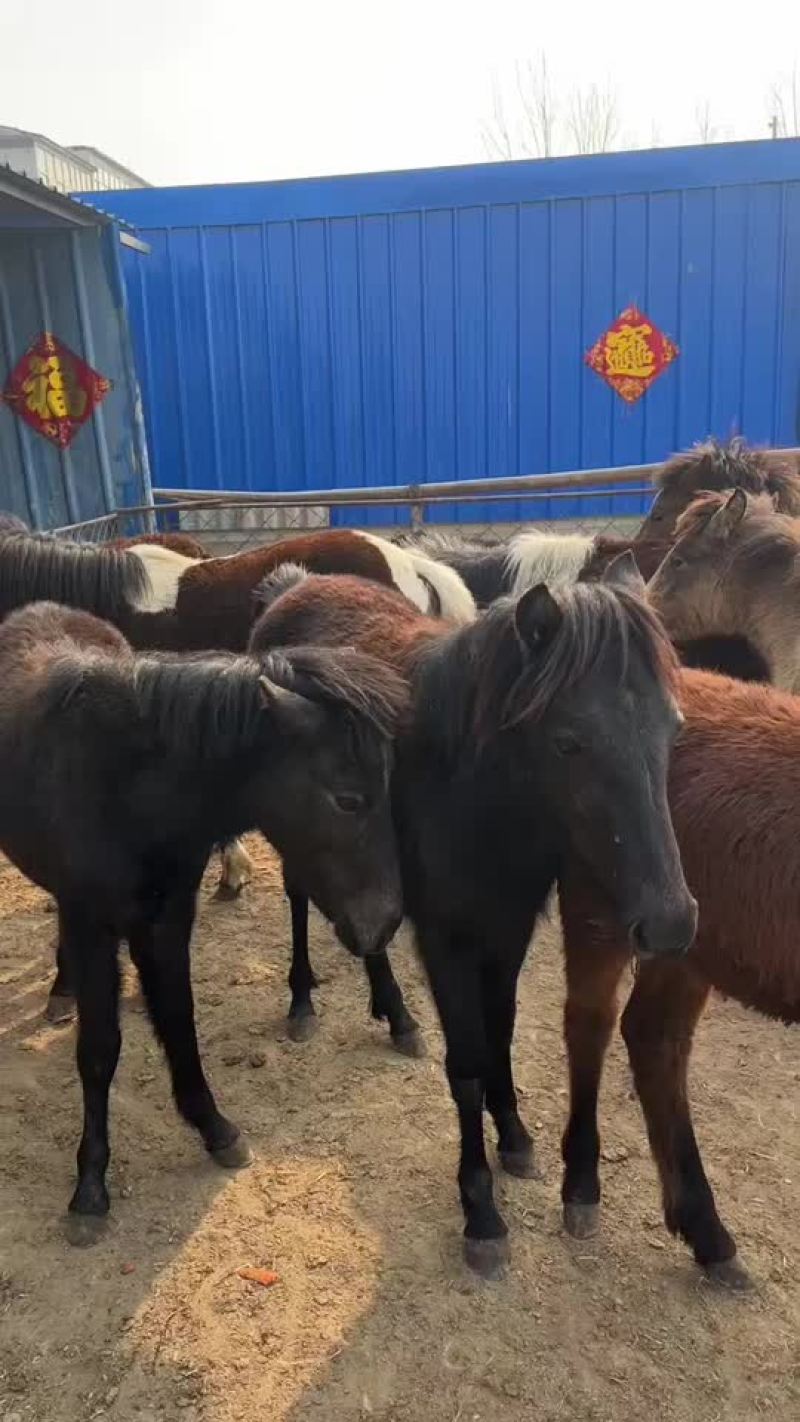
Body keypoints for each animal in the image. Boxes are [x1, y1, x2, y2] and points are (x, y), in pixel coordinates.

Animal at [0, 600, 405, 1242]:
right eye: (348, 799)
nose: (386, 921)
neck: (127, 789)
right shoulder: (91, 923)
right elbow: (99, 1048)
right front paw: (90, 1186)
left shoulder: (168, 916)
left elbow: (178, 1019)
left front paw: (214, 1127)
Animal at [251, 558, 697, 1277]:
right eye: (568, 741)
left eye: (673, 729)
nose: (671, 923)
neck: (473, 794)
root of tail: (293, 585)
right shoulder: (448, 943)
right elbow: (466, 1064)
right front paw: (481, 1211)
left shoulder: (507, 931)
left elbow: (501, 1038)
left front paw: (513, 1137)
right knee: (300, 898)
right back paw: (301, 1001)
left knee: (371, 930)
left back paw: (397, 1015)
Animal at [558, 667, 800, 1290]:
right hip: (603, 911)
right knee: (591, 1022)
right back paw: (583, 1188)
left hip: (685, 938)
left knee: (654, 1037)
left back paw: (707, 1233)